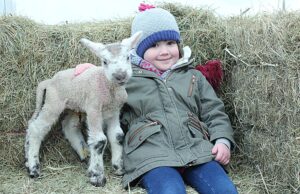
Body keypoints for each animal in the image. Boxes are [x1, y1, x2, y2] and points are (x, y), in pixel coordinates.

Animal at [24, 30, 142, 186]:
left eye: (128, 57)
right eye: (104, 61)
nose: (120, 75)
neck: (107, 86)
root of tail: (48, 82)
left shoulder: (114, 111)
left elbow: (117, 136)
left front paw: (119, 167)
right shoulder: (93, 108)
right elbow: (99, 140)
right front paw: (97, 176)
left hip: (73, 106)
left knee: (68, 126)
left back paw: (83, 153)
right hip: (53, 103)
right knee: (36, 128)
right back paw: (33, 167)